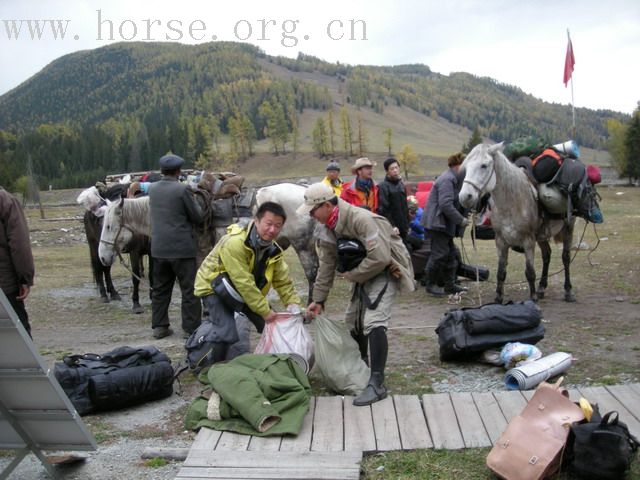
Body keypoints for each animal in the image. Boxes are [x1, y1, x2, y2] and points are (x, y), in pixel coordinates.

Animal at [460, 142, 576, 302]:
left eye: (484, 165)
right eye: (466, 166)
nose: (465, 197)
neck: (512, 202)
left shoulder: (528, 241)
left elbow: (530, 272)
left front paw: (532, 298)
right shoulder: (501, 241)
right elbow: (501, 272)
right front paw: (498, 298)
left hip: (568, 227)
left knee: (566, 257)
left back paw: (568, 291)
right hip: (541, 235)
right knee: (547, 255)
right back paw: (541, 288)